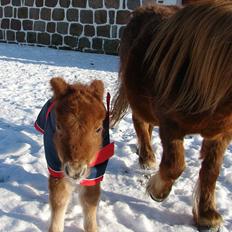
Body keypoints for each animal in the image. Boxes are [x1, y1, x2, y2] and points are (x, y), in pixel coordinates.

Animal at [35, 78, 113, 232]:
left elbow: (90, 199)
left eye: (98, 129)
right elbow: (59, 198)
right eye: (58, 126)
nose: (75, 171)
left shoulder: (96, 170)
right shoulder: (56, 167)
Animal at [111, 1, 232, 230]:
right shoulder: (171, 125)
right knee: (140, 123)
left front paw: (207, 215)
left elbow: (211, 171)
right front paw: (157, 191)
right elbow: (174, 165)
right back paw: (147, 157)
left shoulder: (221, 135)